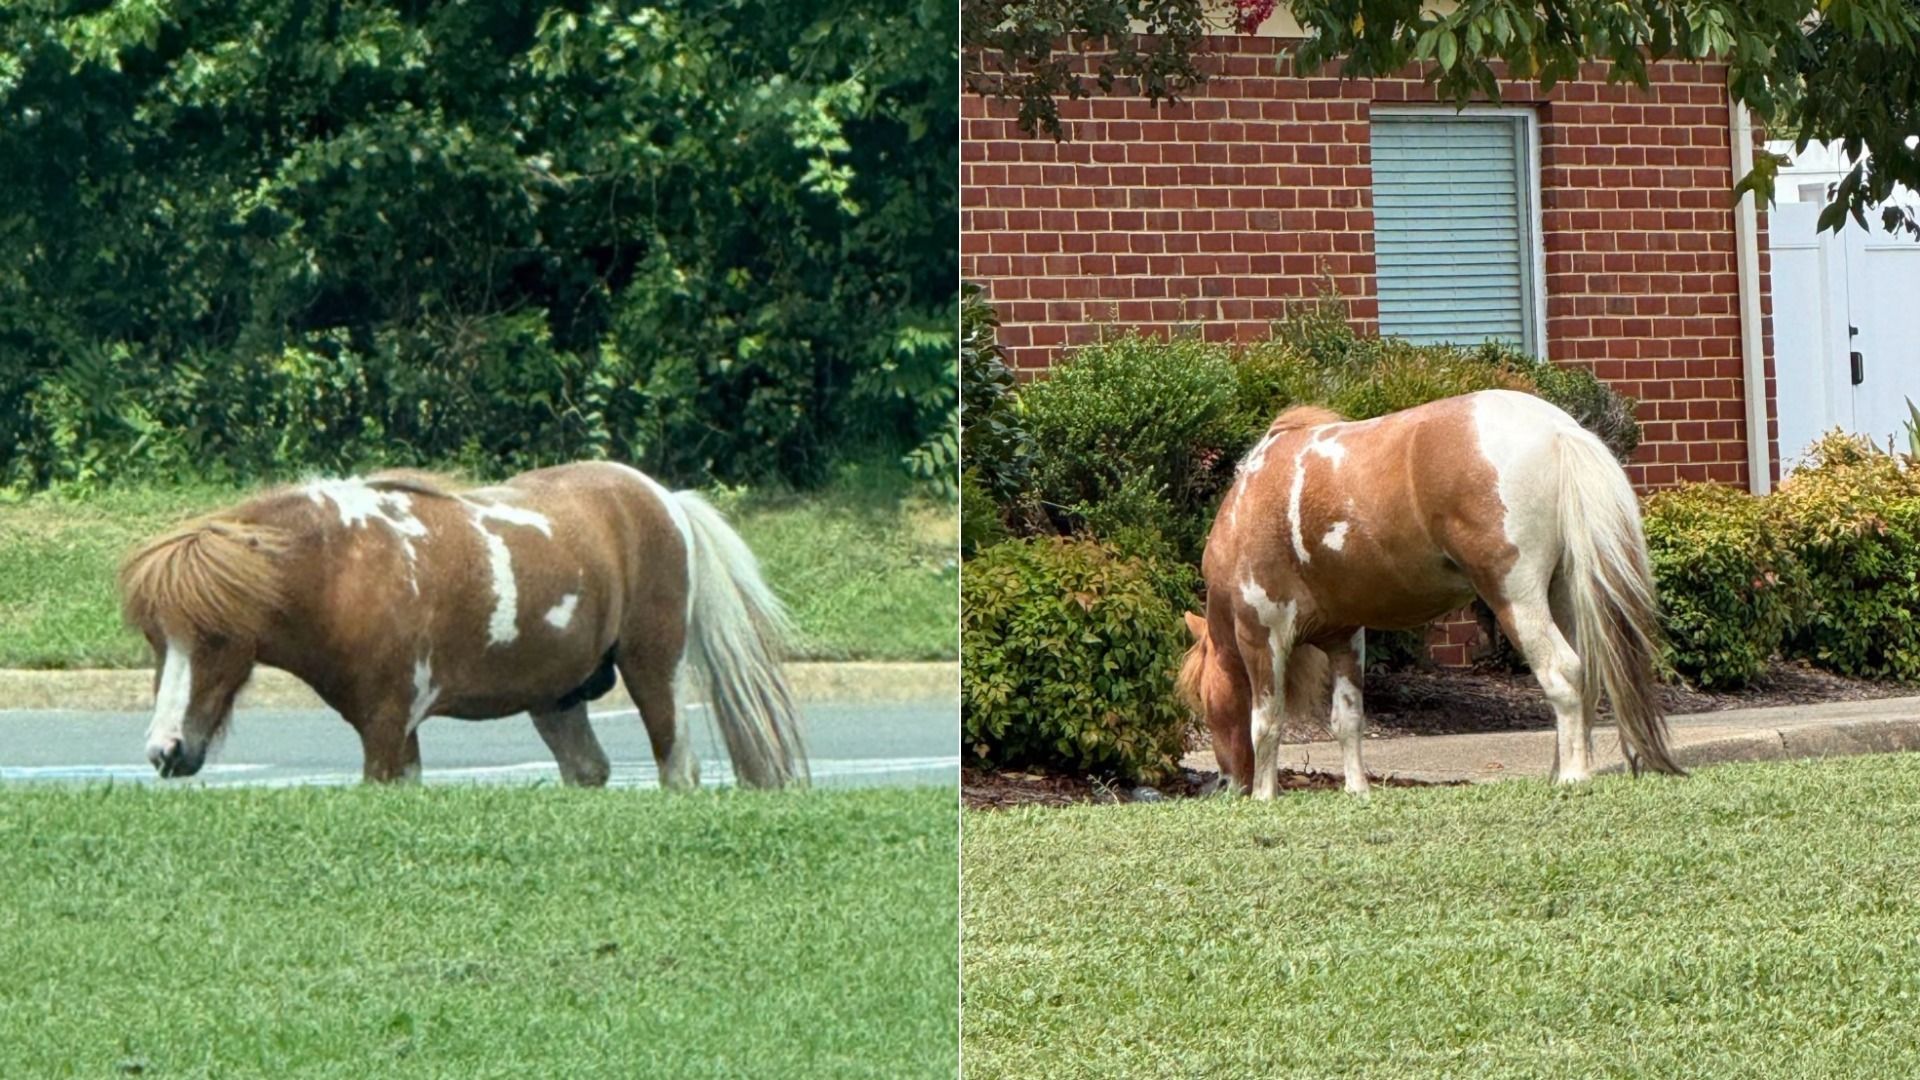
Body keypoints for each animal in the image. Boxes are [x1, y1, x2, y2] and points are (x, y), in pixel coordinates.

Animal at [117, 461, 807, 788]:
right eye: (155, 639)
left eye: (214, 636)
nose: (164, 750)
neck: (343, 567)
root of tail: (664, 499)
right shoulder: (398, 734)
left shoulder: (386, 728)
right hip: (557, 699)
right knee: (589, 771)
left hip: (653, 671)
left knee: (676, 769)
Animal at [1176, 389, 1682, 799]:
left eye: (1204, 701)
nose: (1227, 783)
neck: (1252, 503)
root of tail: (1559, 430)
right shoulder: (1344, 636)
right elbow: (1347, 720)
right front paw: (1357, 790)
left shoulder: (1261, 632)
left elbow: (1267, 720)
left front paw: (1265, 796)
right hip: (1562, 596)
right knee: (1585, 677)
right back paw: (1561, 771)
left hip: (1516, 598)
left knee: (1562, 672)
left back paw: (1574, 776)